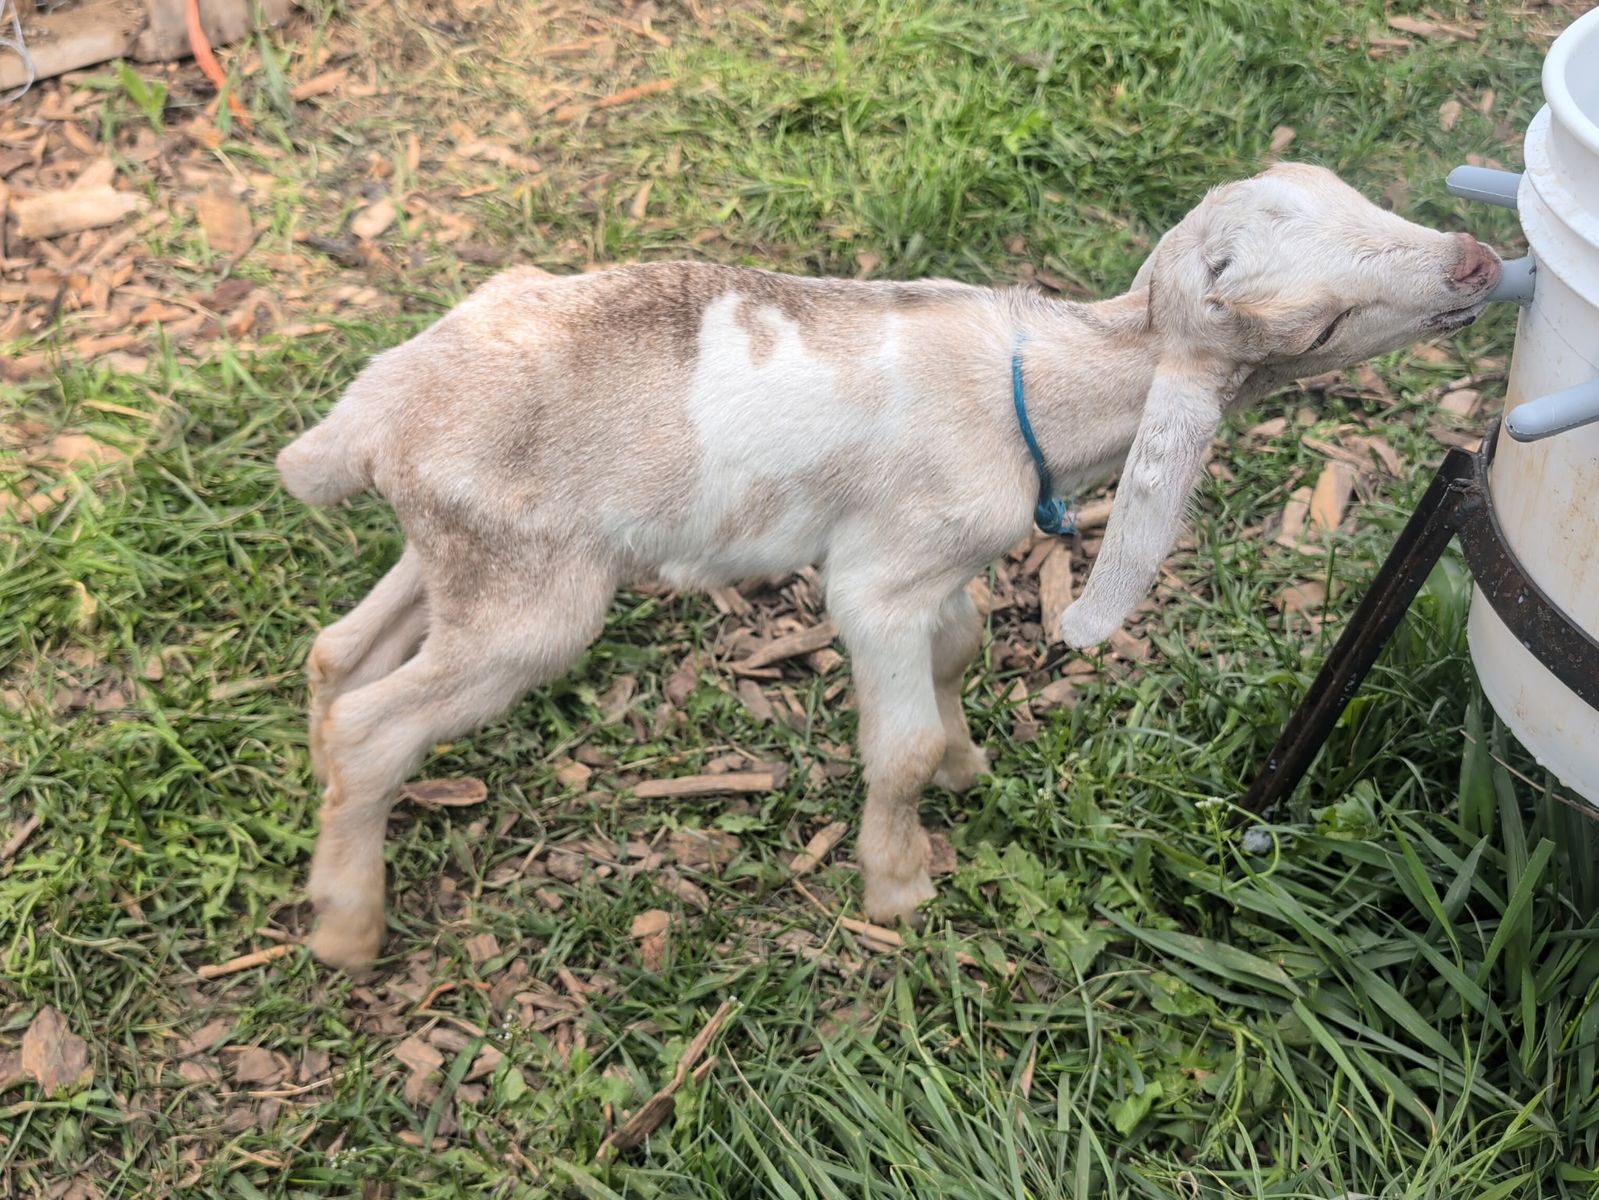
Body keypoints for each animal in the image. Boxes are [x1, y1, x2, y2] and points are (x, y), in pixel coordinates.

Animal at [278, 163, 1501, 969]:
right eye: (1310, 323)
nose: (1479, 261)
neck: (1041, 385)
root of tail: (373, 411)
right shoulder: (877, 581)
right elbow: (897, 743)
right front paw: (901, 883)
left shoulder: (935, 567)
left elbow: (958, 650)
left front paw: (966, 766)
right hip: (534, 599)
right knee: (380, 718)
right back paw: (347, 924)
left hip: (461, 552)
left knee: (338, 655)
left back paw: (330, 809)